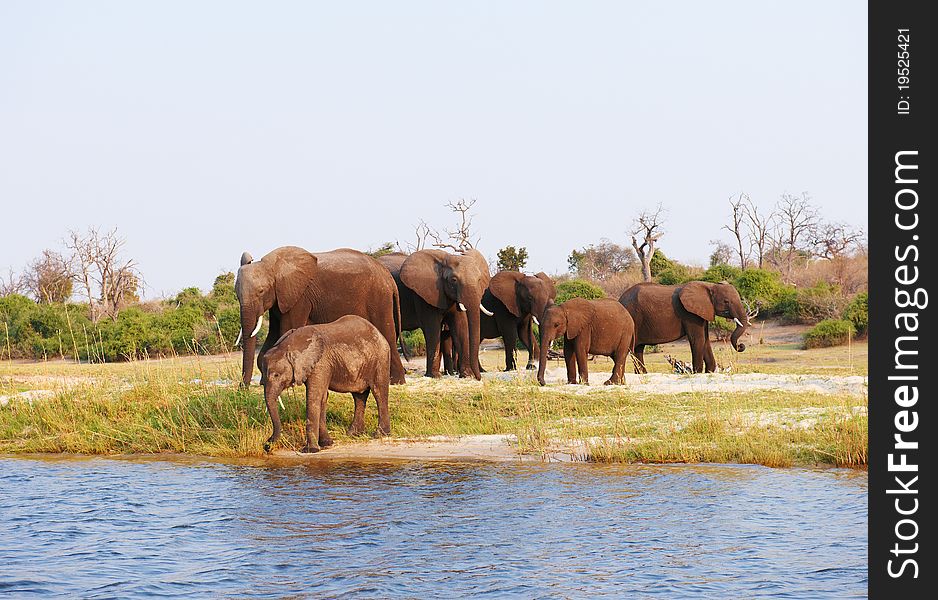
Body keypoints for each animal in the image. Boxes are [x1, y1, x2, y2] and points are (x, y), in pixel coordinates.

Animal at [236, 246, 404, 386]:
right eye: (236, 294)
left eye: (261, 291)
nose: (242, 388)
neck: (273, 267)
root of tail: (389, 278)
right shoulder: (280, 298)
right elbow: (274, 333)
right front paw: (264, 381)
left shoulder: (300, 297)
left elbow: (287, 329)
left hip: (379, 297)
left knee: (387, 332)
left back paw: (395, 381)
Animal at [258, 316, 390, 452]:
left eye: (276, 375)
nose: (266, 445)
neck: (288, 346)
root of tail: (378, 332)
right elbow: (322, 397)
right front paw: (327, 444)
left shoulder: (320, 364)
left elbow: (314, 397)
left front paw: (310, 450)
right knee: (359, 396)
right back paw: (353, 434)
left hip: (381, 358)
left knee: (379, 391)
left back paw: (380, 434)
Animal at [374, 248, 490, 380]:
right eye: (453, 280)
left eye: (479, 280)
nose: (478, 377)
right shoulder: (423, 296)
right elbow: (432, 329)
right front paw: (434, 376)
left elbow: (460, 327)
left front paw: (467, 376)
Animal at [616, 278, 748, 372]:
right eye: (726, 301)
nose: (741, 346)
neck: (709, 285)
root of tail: (620, 299)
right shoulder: (689, 314)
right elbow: (698, 339)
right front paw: (697, 372)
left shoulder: (701, 312)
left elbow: (705, 340)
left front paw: (709, 371)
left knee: (638, 349)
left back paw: (643, 374)